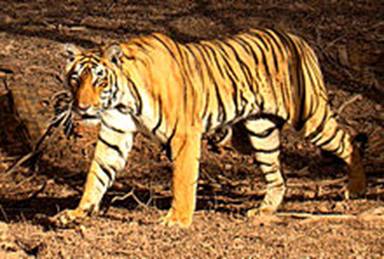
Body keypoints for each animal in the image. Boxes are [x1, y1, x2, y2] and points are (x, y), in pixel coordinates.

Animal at [53, 27, 366, 229]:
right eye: (76, 79)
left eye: (99, 81)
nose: (82, 108)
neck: (123, 101)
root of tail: (299, 39)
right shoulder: (115, 134)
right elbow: (97, 174)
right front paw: (77, 212)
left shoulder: (184, 135)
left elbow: (182, 180)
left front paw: (177, 220)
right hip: (259, 131)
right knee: (277, 176)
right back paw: (264, 210)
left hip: (310, 116)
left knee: (348, 141)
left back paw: (356, 188)